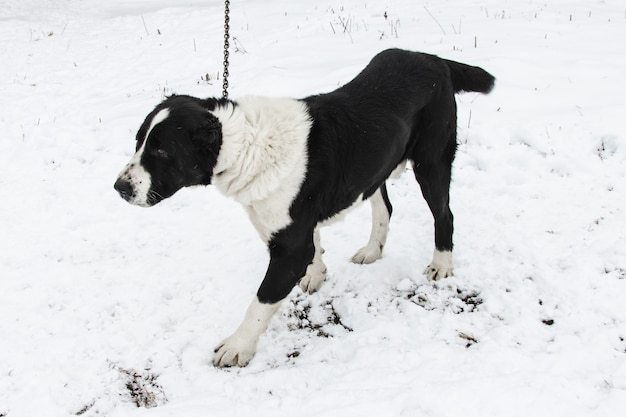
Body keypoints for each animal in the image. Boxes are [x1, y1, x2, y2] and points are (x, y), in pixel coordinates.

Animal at [112, 48, 492, 366]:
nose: (119, 188)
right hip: (377, 166)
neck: (244, 146)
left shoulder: (289, 249)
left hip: (432, 161)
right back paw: (372, 250)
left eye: (162, 151)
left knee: (444, 213)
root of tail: (434, 59)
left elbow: (260, 302)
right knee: (384, 206)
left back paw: (441, 264)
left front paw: (237, 347)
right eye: (139, 141)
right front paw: (316, 274)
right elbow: (316, 245)